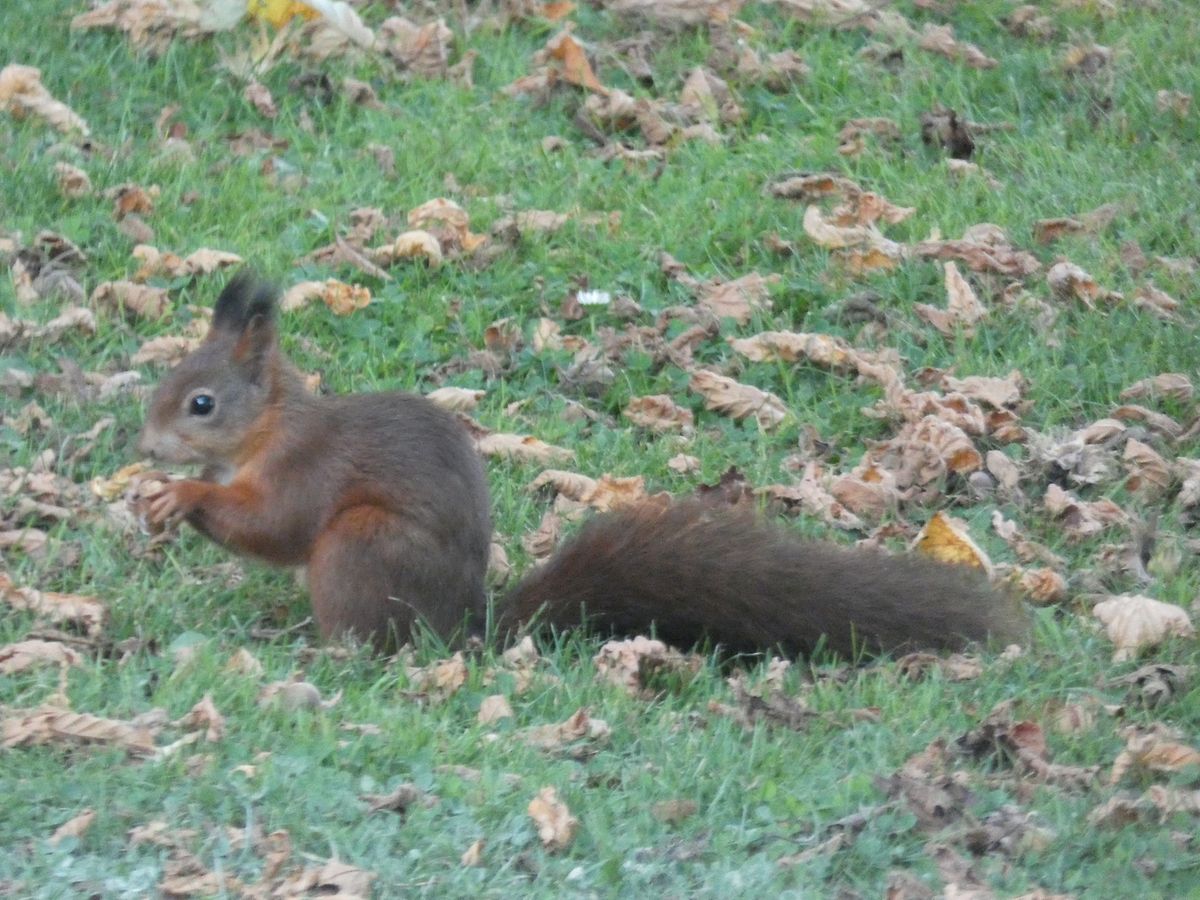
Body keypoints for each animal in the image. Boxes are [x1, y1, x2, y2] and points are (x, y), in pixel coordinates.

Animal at [138, 273, 1026, 657]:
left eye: (201, 403)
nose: (144, 445)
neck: (268, 428)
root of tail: (463, 629)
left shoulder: (307, 470)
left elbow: (276, 526)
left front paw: (179, 494)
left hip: (361, 548)